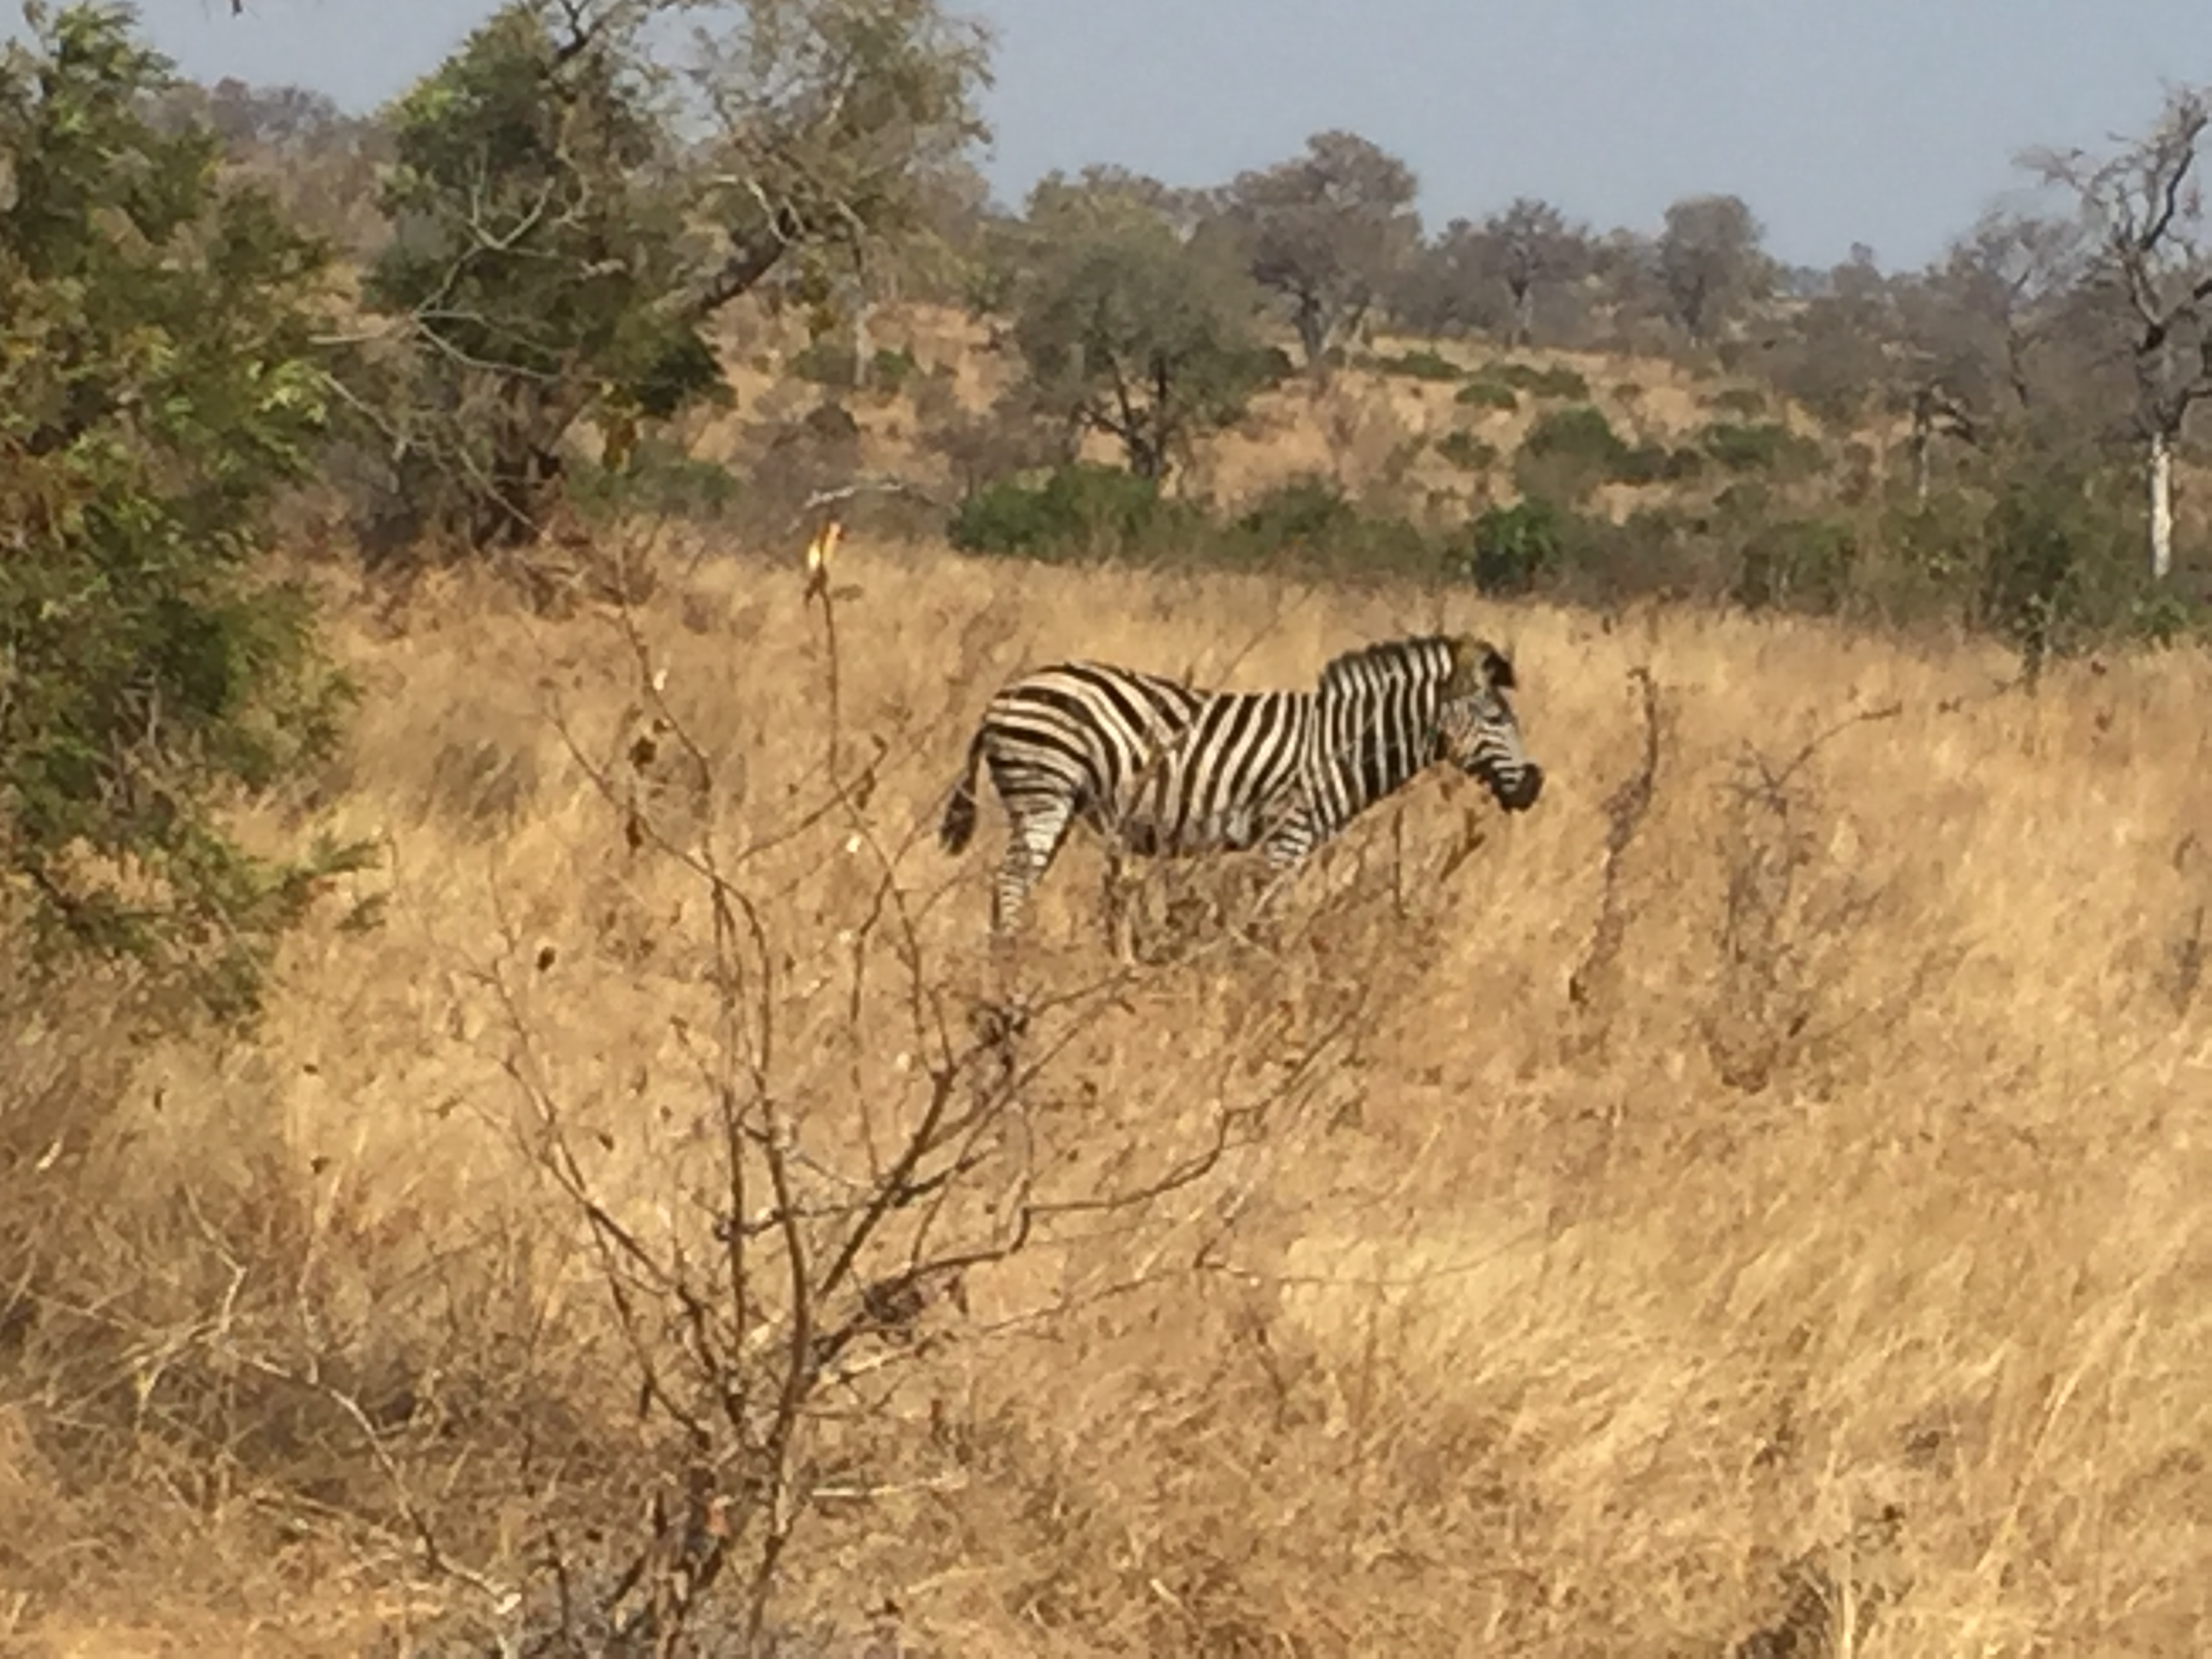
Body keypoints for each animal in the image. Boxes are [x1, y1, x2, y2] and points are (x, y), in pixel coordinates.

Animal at [937, 633, 1542, 936]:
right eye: (1495, 718)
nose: (1533, 787)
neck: (1342, 743)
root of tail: (1004, 695)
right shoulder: (1289, 833)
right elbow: (1268, 917)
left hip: (1054, 803)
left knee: (1015, 882)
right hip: (1044, 794)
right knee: (1011, 882)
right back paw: (1012, 961)